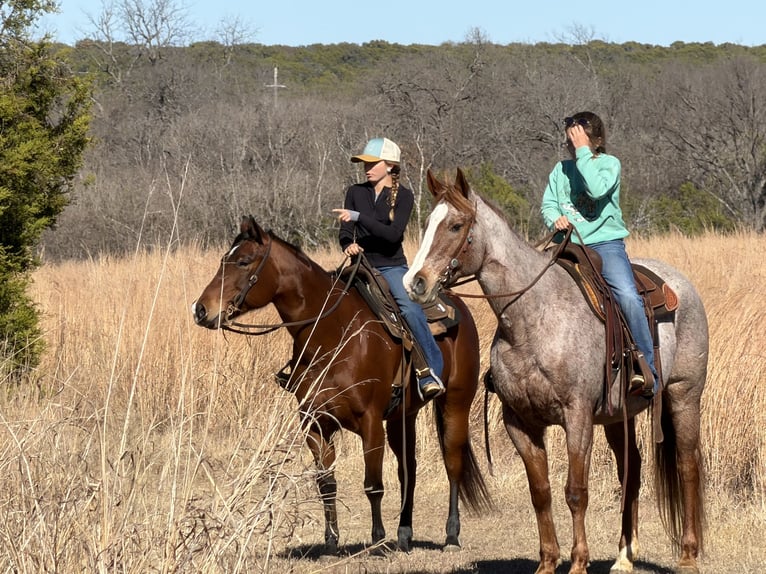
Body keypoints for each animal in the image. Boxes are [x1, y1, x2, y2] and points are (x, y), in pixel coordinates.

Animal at [192, 215, 491, 554]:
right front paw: (332, 540)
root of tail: (458, 305)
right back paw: (404, 534)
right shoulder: (314, 425)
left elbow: (373, 484)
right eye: (223, 260)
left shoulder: (370, 422)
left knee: (452, 464)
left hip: (456, 402)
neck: (334, 334)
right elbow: (326, 484)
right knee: (408, 470)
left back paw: (451, 535)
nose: (201, 309)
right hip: (403, 416)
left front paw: (378, 540)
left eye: (243, 261)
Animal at [403, 169, 708, 574]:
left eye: (455, 225)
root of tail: (681, 285)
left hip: (683, 395)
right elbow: (541, 492)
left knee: (687, 465)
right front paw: (548, 561)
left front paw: (578, 562)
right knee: (632, 471)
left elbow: (575, 492)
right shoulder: (521, 422)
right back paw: (624, 556)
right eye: (427, 225)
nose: (415, 282)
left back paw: (688, 555)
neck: (532, 318)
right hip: (618, 416)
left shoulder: (576, 417)